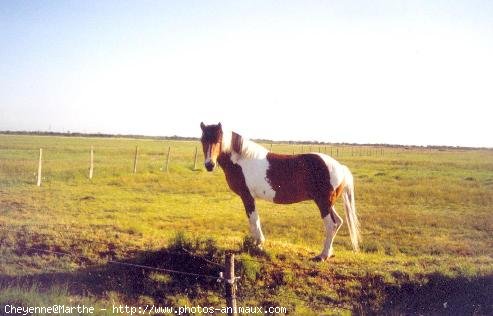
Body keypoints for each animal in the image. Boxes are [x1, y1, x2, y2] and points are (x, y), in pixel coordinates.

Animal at [198, 122, 360, 260]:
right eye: (202, 140)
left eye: (218, 140)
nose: (209, 165)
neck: (242, 161)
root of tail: (340, 167)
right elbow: (254, 220)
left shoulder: (247, 196)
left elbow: (253, 220)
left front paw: (257, 246)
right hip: (327, 203)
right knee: (338, 222)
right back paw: (329, 253)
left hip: (323, 203)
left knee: (331, 225)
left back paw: (322, 256)